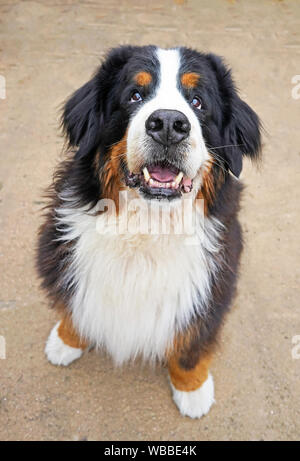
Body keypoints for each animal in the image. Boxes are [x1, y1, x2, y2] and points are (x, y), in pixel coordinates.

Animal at [37, 45, 262, 416]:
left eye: (198, 102)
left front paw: (193, 389)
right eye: (135, 95)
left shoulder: (212, 287)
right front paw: (67, 340)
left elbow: (190, 345)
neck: (146, 227)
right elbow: (74, 304)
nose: (169, 124)